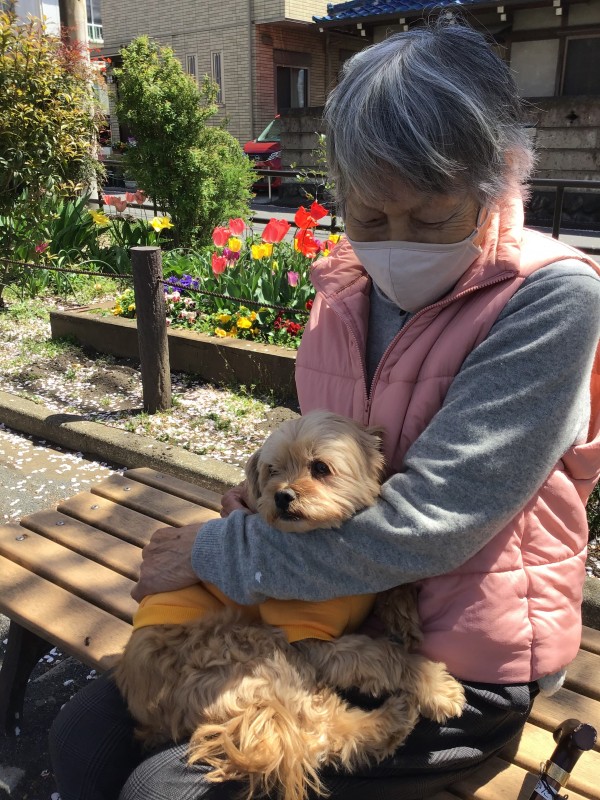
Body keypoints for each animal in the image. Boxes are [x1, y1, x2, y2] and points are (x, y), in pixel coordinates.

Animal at [115, 411, 465, 800]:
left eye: (320, 467)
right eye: (272, 471)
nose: (282, 496)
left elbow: (391, 583)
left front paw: (403, 616)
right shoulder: (312, 642)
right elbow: (380, 655)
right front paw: (435, 685)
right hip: (256, 651)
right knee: (320, 731)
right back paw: (395, 715)